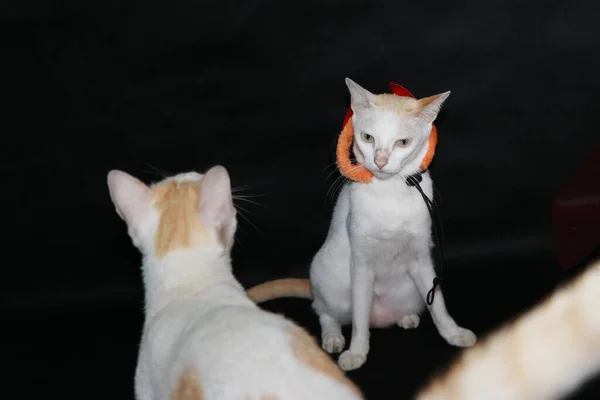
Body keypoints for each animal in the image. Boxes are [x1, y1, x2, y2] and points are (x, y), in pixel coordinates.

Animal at [246, 78, 476, 372]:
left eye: (403, 142)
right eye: (368, 138)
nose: (380, 161)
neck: (390, 194)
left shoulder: (422, 258)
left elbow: (438, 305)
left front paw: (453, 333)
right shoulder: (361, 264)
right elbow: (359, 318)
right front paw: (357, 351)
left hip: (412, 289)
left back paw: (407, 317)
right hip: (325, 275)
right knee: (326, 313)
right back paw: (333, 337)